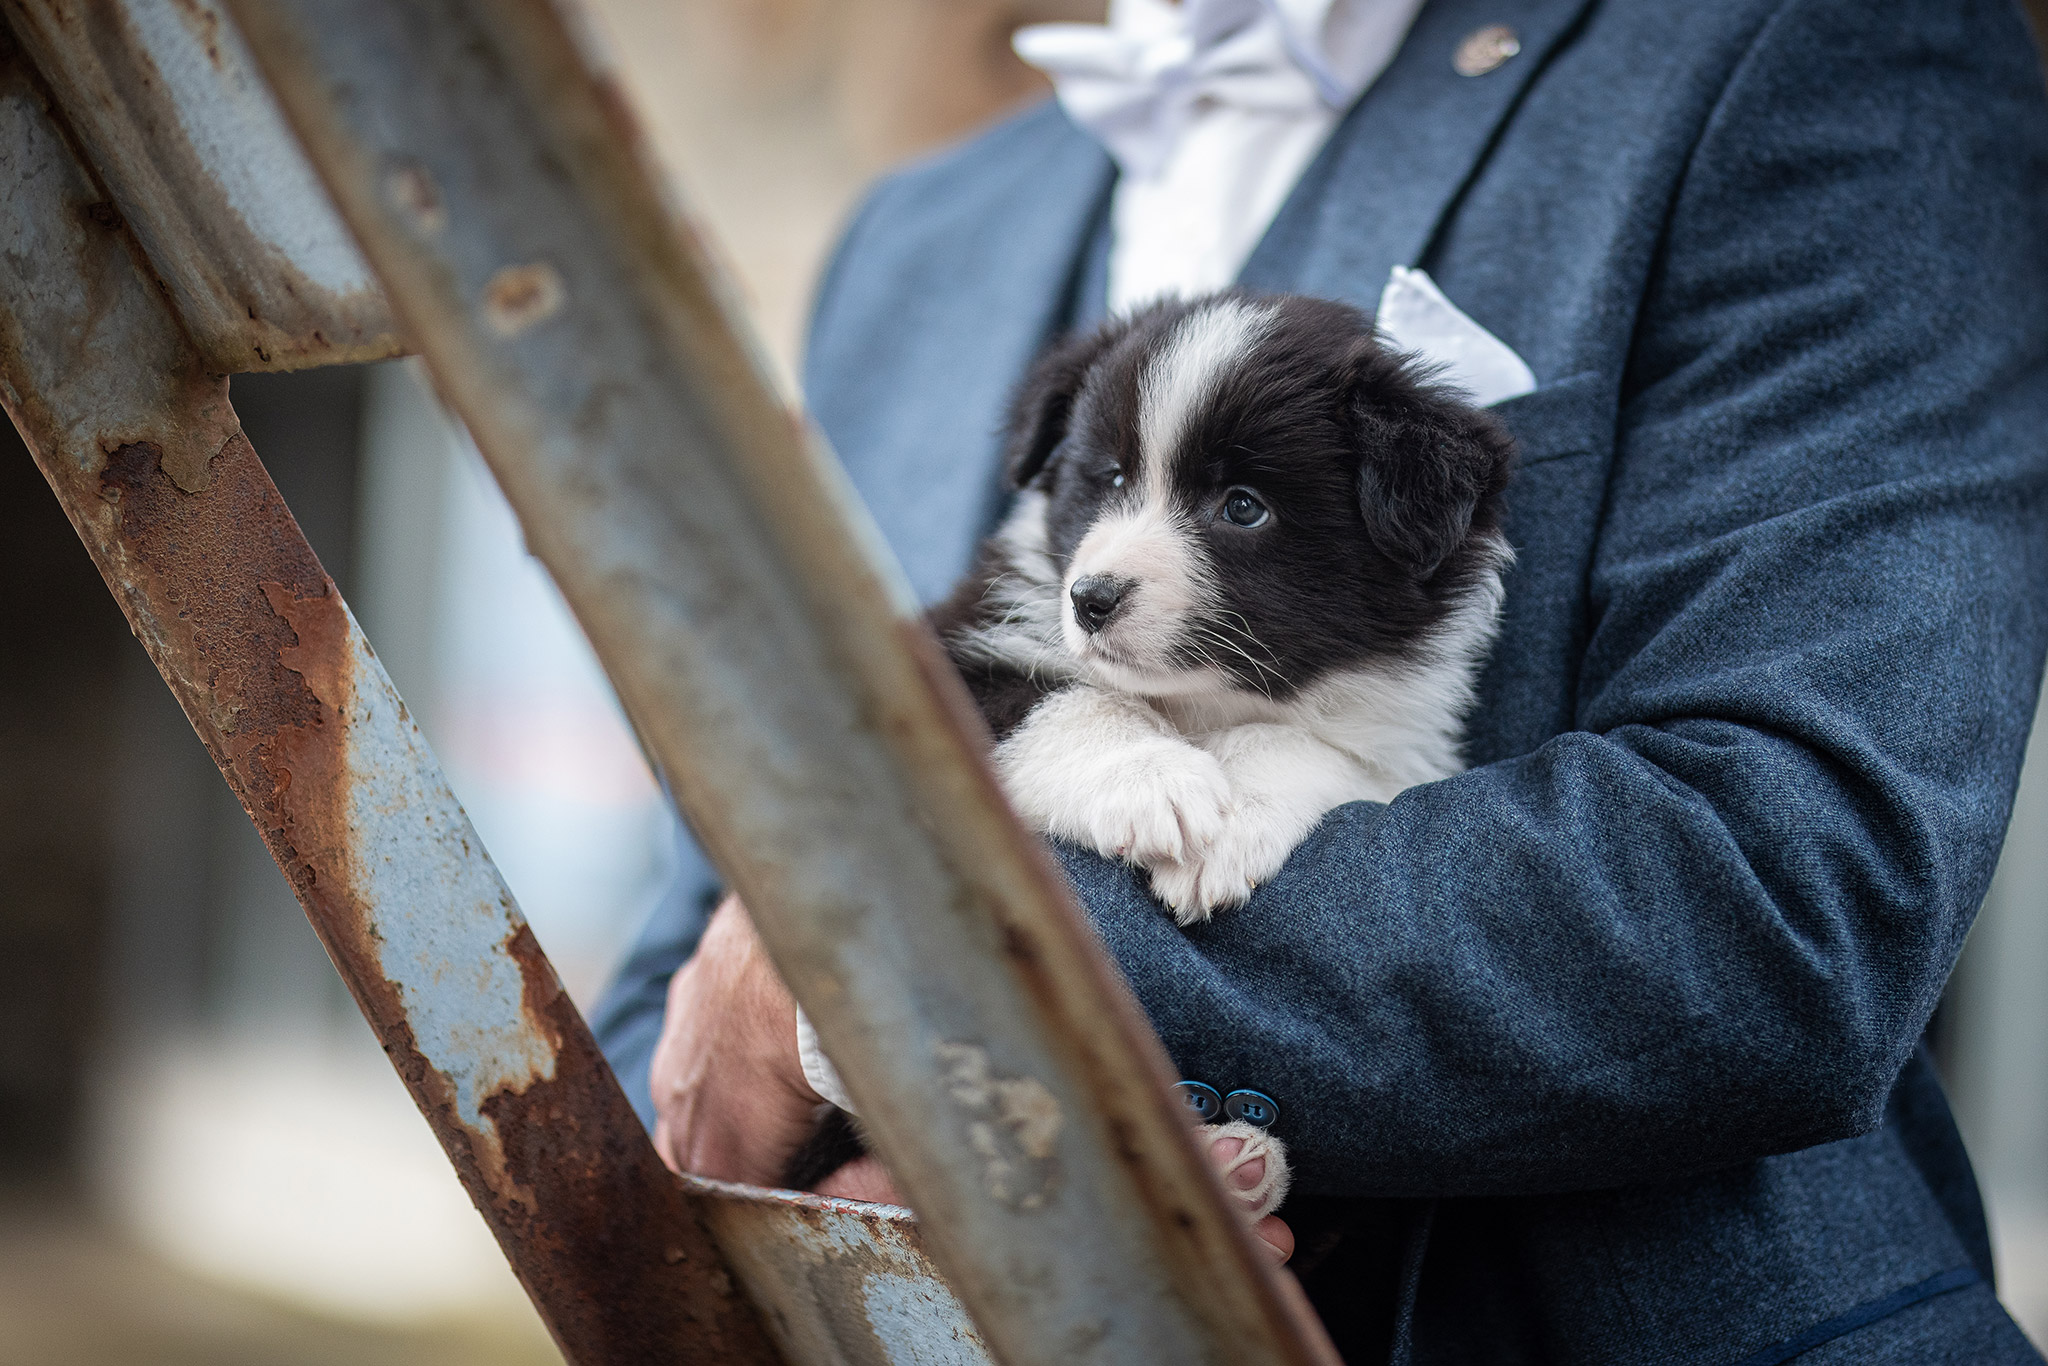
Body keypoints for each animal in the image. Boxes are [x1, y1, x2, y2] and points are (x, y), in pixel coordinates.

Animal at [937, 294, 1515, 925]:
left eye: (1243, 507)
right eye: (1113, 478)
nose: (1091, 599)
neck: (1202, 701)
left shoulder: (1404, 754)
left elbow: (1299, 744)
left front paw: (1233, 818)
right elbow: (1066, 703)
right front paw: (1151, 777)